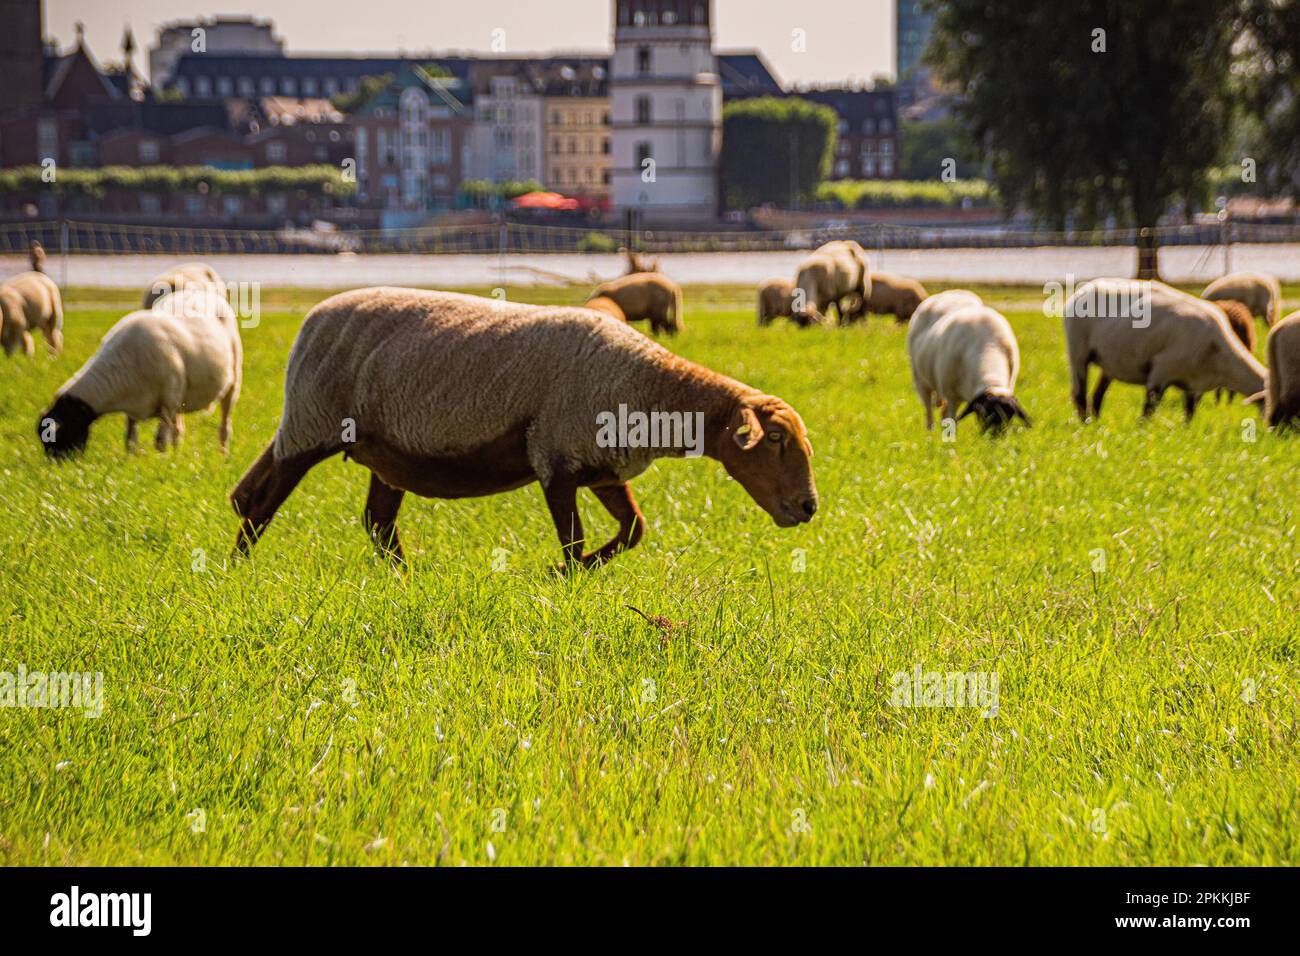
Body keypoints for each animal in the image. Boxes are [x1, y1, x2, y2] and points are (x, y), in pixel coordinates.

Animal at [37, 285, 242, 457]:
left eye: (61, 435)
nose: (57, 466)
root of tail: (201, 292)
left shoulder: (168, 402)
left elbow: (160, 440)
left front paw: (162, 461)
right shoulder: (135, 407)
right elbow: (130, 438)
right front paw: (132, 459)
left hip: (232, 382)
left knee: (225, 426)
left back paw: (222, 455)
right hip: (181, 396)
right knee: (179, 429)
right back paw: (178, 455)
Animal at [229, 287, 818, 571]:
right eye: (776, 440)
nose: (809, 508)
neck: (647, 387)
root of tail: (314, 316)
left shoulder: (600, 466)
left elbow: (634, 530)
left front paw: (576, 571)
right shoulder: (556, 456)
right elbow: (574, 541)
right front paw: (563, 576)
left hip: (381, 450)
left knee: (377, 522)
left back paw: (407, 577)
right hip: (310, 425)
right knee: (259, 505)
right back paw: (236, 572)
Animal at [907, 289, 1030, 433]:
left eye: (1009, 415)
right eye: (983, 413)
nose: (994, 436)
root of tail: (948, 293)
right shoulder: (951, 395)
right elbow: (952, 420)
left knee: (942, 413)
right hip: (921, 380)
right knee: (929, 410)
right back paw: (930, 432)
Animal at [1064, 278, 1266, 422]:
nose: (1274, 434)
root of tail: (1083, 289)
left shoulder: (1194, 384)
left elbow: (1189, 414)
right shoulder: (1161, 371)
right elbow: (1148, 411)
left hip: (1109, 360)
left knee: (1097, 396)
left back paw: (1096, 424)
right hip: (1078, 351)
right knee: (1079, 395)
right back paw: (1085, 425)